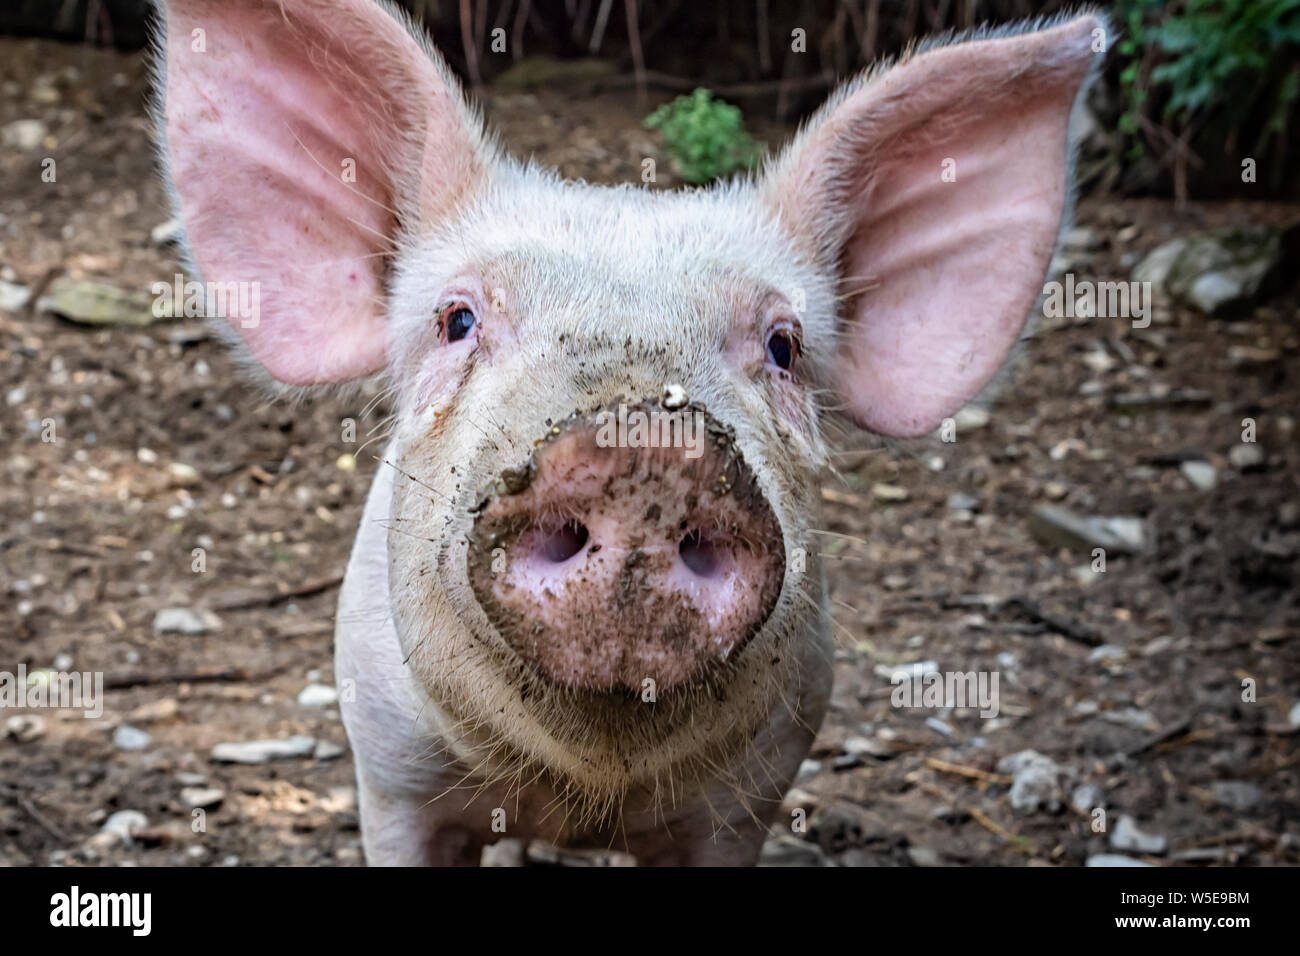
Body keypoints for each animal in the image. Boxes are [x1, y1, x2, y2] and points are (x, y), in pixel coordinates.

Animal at [152, 0, 1107, 868]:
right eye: (457, 320)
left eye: (784, 347)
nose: (643, 449)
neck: (583, 796)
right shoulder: (389, 773)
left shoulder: (754, 789)